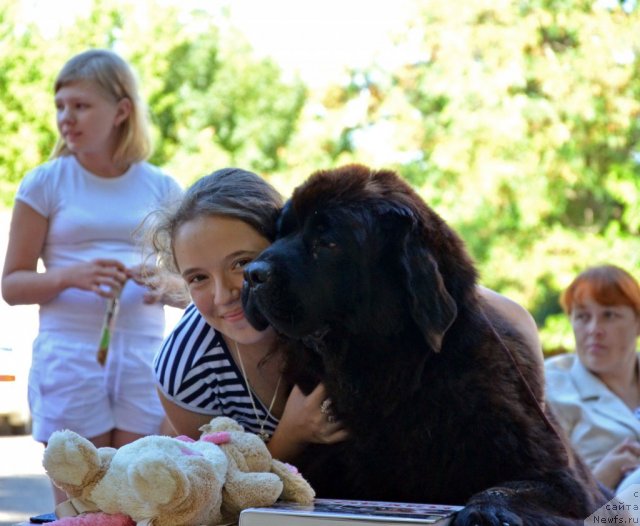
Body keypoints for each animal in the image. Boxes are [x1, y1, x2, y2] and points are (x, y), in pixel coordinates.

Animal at [241, 166, 608, 526]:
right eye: (280, 233)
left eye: (327, 242)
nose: (252, 273)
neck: (393, 381)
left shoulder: (560, 477)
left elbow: (511, 488)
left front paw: (485, 512)